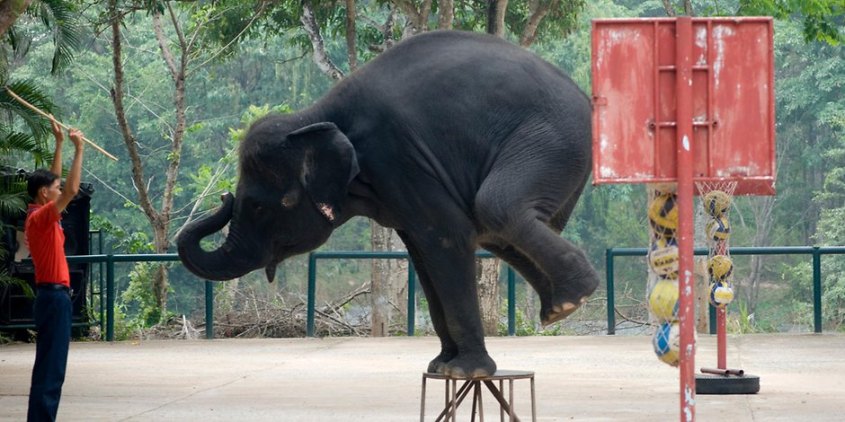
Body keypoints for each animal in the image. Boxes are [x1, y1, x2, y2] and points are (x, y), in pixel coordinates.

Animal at [177, 30, 599, 379]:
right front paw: (440, 366)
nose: (223, 196)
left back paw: (574, 298)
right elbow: (423, 253)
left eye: (259, 207)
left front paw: (464, 372)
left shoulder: (399, 156)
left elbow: (447, 237)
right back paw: (558, 307)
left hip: (551, 140)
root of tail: (584, 97)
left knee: (495, 207)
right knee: (496, 230)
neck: (314, 117)